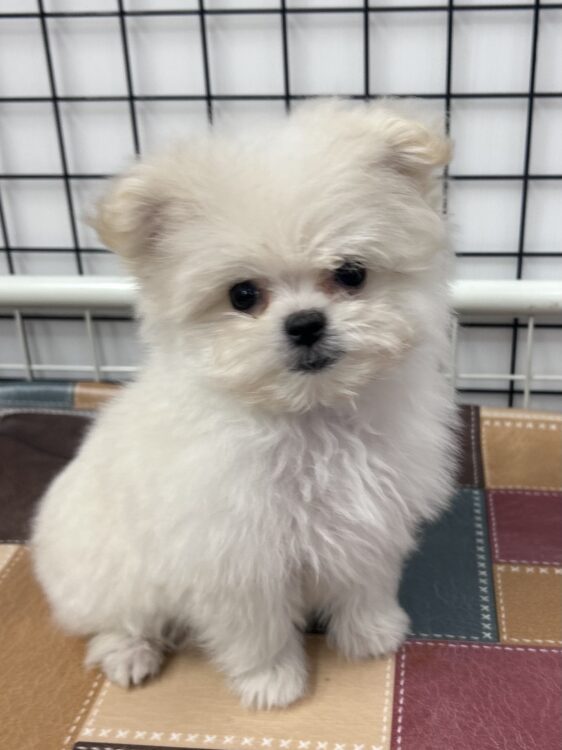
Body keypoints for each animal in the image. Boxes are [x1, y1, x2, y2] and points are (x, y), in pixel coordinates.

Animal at [32, 99, 457, 709]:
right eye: (243, 295)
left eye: (351, 273)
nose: (305, 323)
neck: (310, 419)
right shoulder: (235, 557)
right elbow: (258, 628)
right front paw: (273, 682)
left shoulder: (369, 519)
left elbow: (365, 582)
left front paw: (371, 633)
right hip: (106, 575)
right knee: (115, 619)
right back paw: (130, 654)